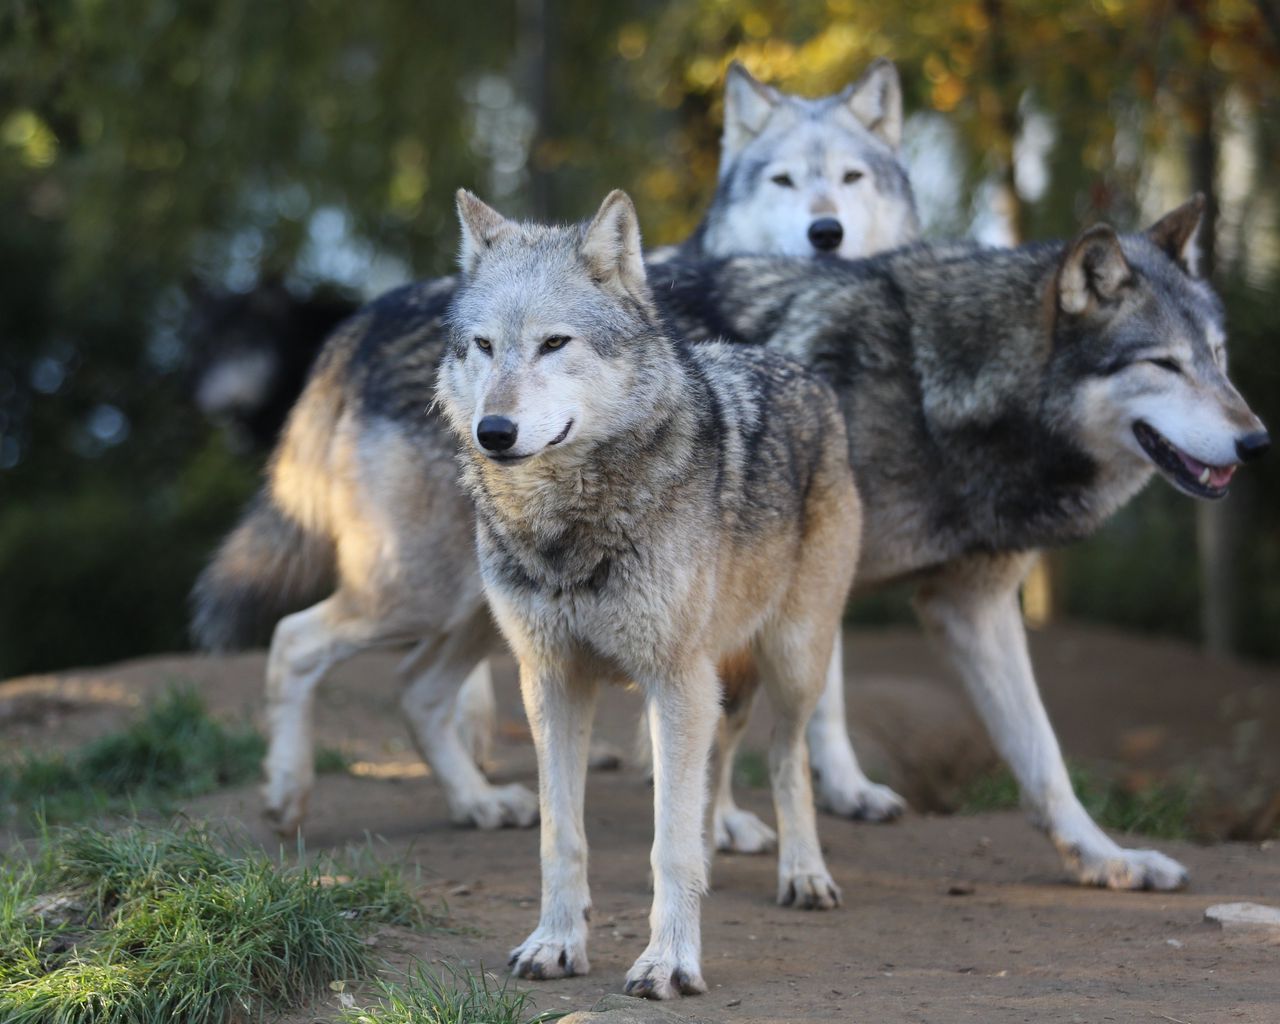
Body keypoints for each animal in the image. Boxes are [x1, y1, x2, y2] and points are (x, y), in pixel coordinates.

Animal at [192, 64, 921, 844]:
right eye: (783, 180)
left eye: (849, 177)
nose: (825, 233)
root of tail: (355, 327)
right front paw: (728, 820)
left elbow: (809, 694)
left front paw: (843, 790)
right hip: (417, 591)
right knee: (295, 640)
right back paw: (287, 795)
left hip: (472, 608)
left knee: (416, 689)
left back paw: (477, 802)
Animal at [437, 188, 860, 998]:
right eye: (483, 346)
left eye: (554, 343)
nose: (493, 431)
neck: (566, 527)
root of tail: (797, 369)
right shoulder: (552, 681)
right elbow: (562, 837)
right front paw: (555, 944)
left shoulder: (672, 678)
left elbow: (669, 846)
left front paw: (669, 963)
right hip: (714, 680)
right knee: (715, 768)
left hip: (789, 661)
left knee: (788, 762)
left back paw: (805, 874)